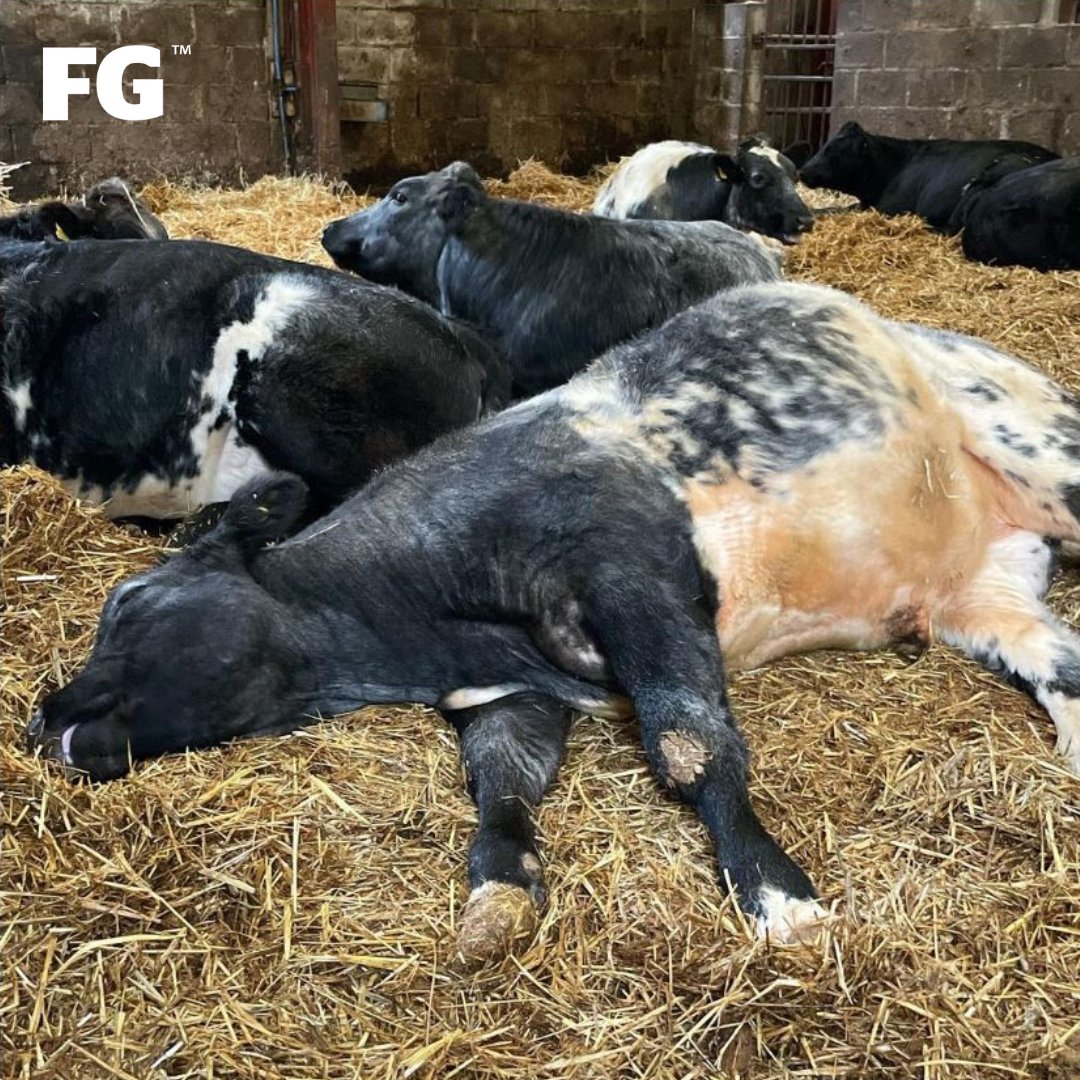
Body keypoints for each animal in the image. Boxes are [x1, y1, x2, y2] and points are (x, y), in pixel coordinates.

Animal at [29, 281, 1080, 958]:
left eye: (129, 604)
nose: (46, 717)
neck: (436, 630)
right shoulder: (507, 694)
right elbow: (503, 785)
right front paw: (497, 892)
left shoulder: (634, 573)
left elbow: (691, 748)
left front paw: (782, 902)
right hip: (985, 592)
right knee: (1062, 660)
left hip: (1043, 450)